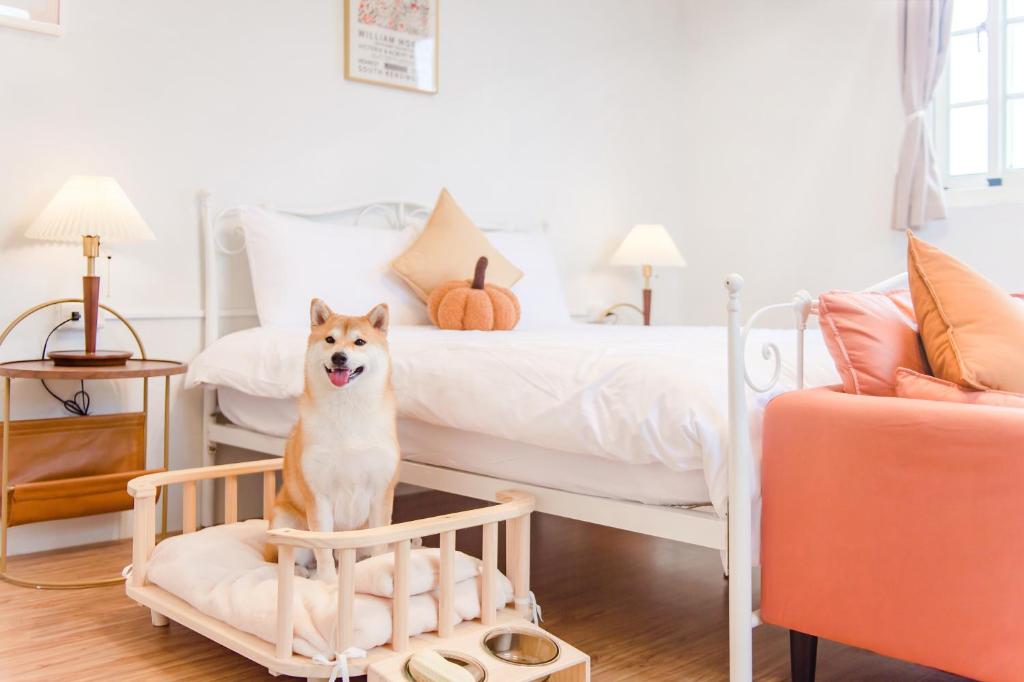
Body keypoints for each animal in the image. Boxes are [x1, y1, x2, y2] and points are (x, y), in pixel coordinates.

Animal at [264, 296, 399, 577]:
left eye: (360, 342)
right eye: (329, 340)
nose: (339, 356)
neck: (347, 409)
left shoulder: (381, 492)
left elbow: (379, 544)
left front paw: (377, 568)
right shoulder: (319, 495)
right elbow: (323, 549)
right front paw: (327, 581)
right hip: (285, 519)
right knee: (286, 558)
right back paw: (303, 573)